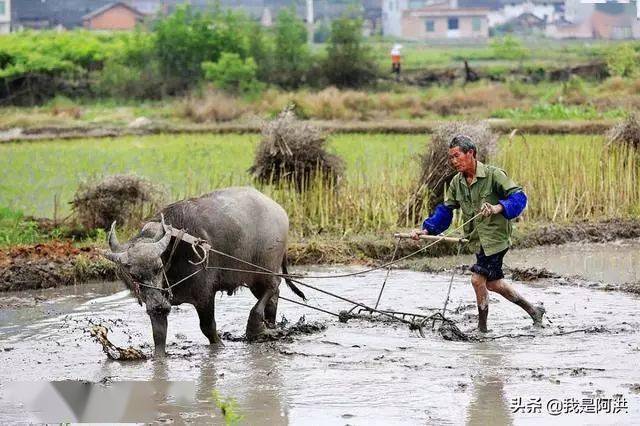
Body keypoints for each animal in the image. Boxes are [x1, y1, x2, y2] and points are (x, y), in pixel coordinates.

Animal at [104, 186, 306, 356]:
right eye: (133, 275)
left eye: (158, 267)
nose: (159, 305)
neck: (173, 250)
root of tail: (278, 210)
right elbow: (159, 336)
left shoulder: (204, 295)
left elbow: (208, 327)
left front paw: (220, 346)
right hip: (254, 278)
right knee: (273, 296)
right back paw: (270, 325)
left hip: (265, 269)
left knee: (273, 286)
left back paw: (255, 326)